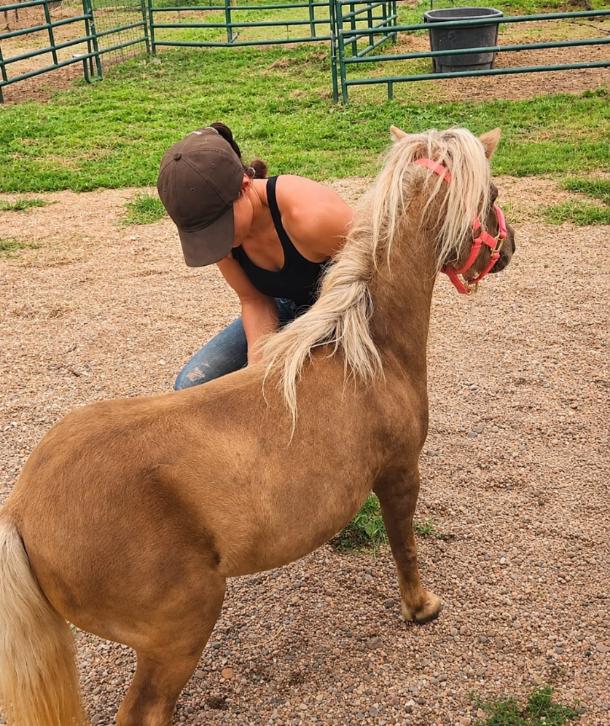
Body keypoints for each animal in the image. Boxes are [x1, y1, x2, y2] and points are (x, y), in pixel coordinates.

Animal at [0, 124, 515, 726]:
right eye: (493, 193)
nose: (509, 248)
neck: (368, 351)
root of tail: (20, 513)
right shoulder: (400, 472)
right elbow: (404, 544)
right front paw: (421, 607)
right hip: (179, 630)